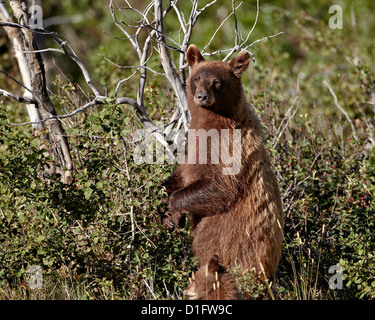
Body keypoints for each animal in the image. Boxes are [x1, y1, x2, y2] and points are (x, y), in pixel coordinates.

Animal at [162, 44, 284, 288]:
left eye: (217, 82)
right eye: (197, 78)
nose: (201, 96)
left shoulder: (228, 150)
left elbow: (220, 188)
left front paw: (176, 213)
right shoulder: (192, 145)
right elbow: (181, 174)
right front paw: (165, 207)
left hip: (237, 250)